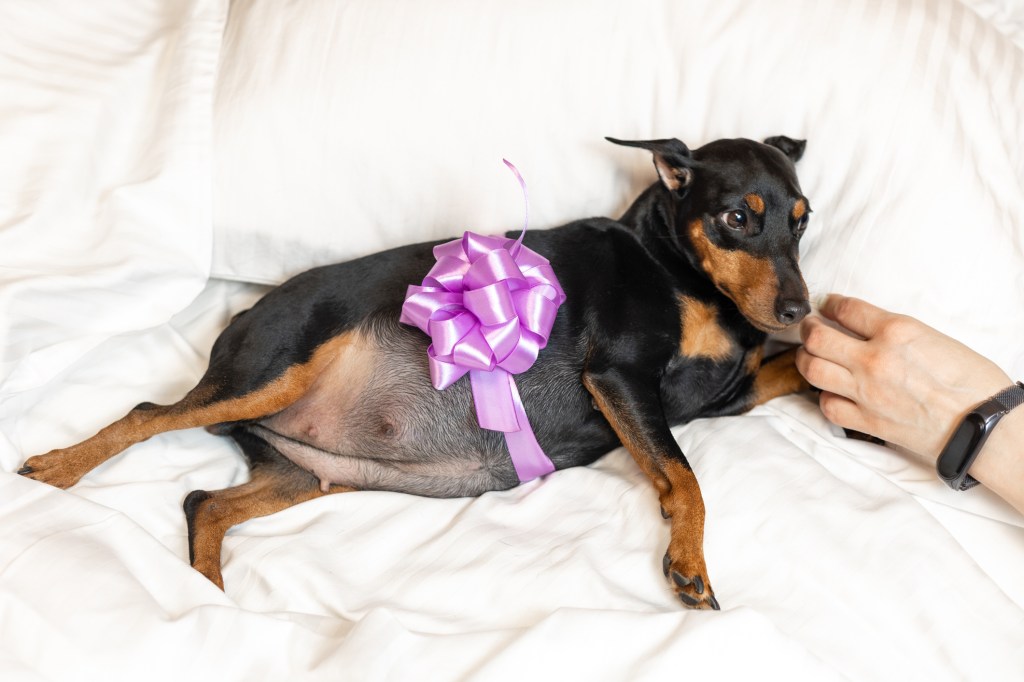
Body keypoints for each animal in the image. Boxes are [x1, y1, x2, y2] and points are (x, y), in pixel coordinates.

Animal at [19, 135, 811, 606]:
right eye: (738, 217)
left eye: (802, 218)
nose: (801, 308)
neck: (679, 271)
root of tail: (241, 319)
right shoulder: (619, 377)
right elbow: (684, 476)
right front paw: (689, 562)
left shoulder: (726, 395)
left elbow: (795, 372)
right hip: (271, 374)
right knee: (147, 416)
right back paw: (57, 469)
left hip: (302, 472)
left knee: (202, 503)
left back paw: (207, 596)